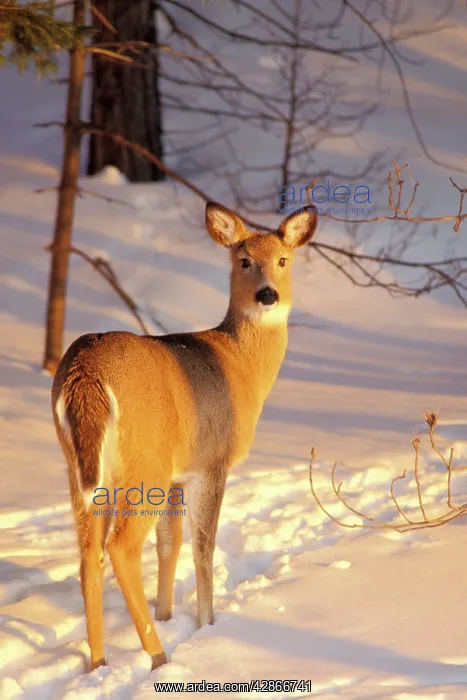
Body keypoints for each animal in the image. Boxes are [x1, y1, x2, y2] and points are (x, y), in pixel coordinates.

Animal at [51, 202, 318, 672]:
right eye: (243, 260)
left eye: (284, 260)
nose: (267, 295)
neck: (240, 364)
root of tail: (84, 373)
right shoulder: (213, 460)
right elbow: (203, 544)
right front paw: (206, 625)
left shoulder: (179, 472)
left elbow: (169, 543)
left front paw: (167, 613)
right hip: (144, 464)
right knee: (121, 547)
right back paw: (157, 656)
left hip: (81, 468)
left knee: (88, 552)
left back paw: (100, 661)